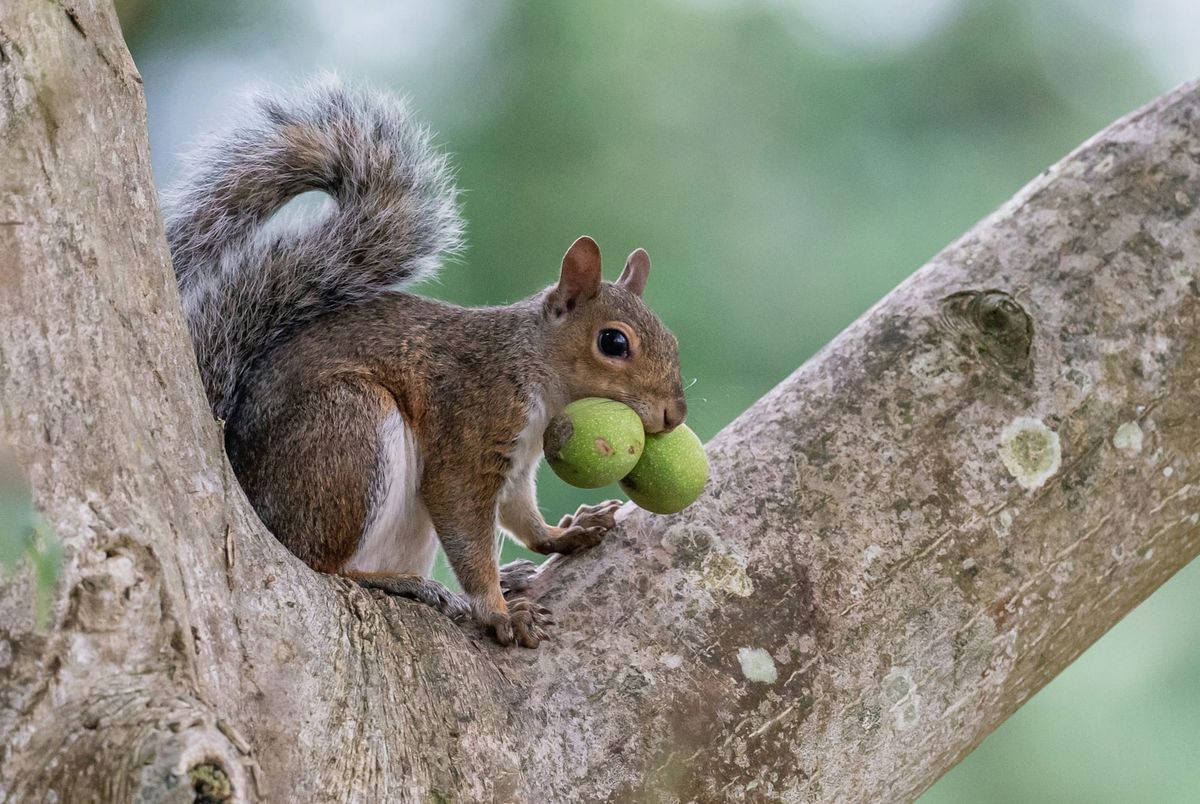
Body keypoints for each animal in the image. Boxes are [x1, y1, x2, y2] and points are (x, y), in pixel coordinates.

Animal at [164, 79, 687, 647]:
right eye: (613, 342)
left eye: (673, 340)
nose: (674, 415)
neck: (532, 373)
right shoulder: (470, 431)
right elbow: (464, 521)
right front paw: (500, 612)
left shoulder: (517, 463)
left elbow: (520, 515)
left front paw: (564, 534)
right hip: (346, 432)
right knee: (323, 563)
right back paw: (409, 584)